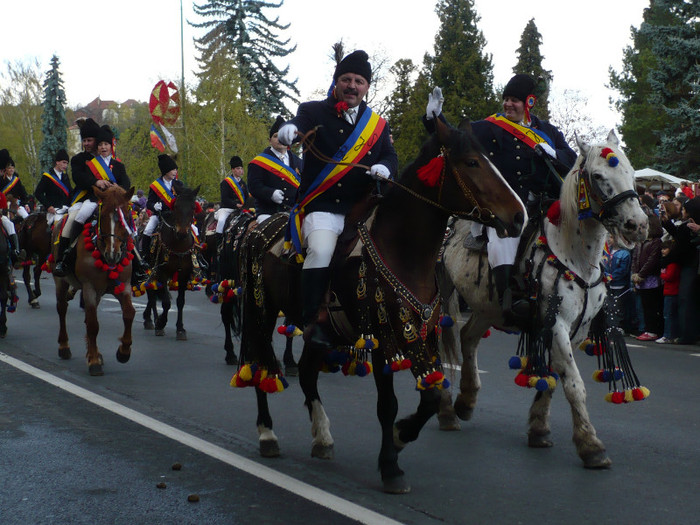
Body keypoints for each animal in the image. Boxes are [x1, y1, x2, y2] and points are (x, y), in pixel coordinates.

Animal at [49, 186, 137, 374]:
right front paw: (94, 361)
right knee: (62, 308)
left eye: (126, 216)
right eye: (102, 216)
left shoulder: (124, 287)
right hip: (61, 281)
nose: (113, 255)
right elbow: (93, 324)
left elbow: (129, 313)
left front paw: (123, 352)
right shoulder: (89, 287)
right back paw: (64, 346)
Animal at [144, 184, 201, 340]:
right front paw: (161, 323)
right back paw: (152, 320)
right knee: (151, 294)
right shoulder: (162, 271)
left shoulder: (184, 274)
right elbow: (166, 302)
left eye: (193, 207)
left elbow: (180, 302)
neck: (178, 244)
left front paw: (180, 329)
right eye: (176, 206)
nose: (181, 233)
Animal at [235, 116, 524, 494]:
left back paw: (322, 437)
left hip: (320, 331)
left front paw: (402, 436)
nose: (518, 216)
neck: (402, 249)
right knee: (259, 365)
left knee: (309, 374)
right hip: (262, 311)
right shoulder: (384, 337)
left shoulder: (422, 331)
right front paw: (390, 466)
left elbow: (432, 394)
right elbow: (387, 405)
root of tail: (258, 227)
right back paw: (267, 433)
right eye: (472, 162)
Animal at [440, 131, 648, 466]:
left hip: (486, 306)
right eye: (598, 176)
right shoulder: (557, 323)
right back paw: (446, 409)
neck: (575, 257)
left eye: (631, 173)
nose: (638, 226)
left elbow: (554, 374)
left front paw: (539, 428)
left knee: (467, 337)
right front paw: (591, 445)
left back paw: (467, 399)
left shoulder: (576, 328)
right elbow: (574, 384)